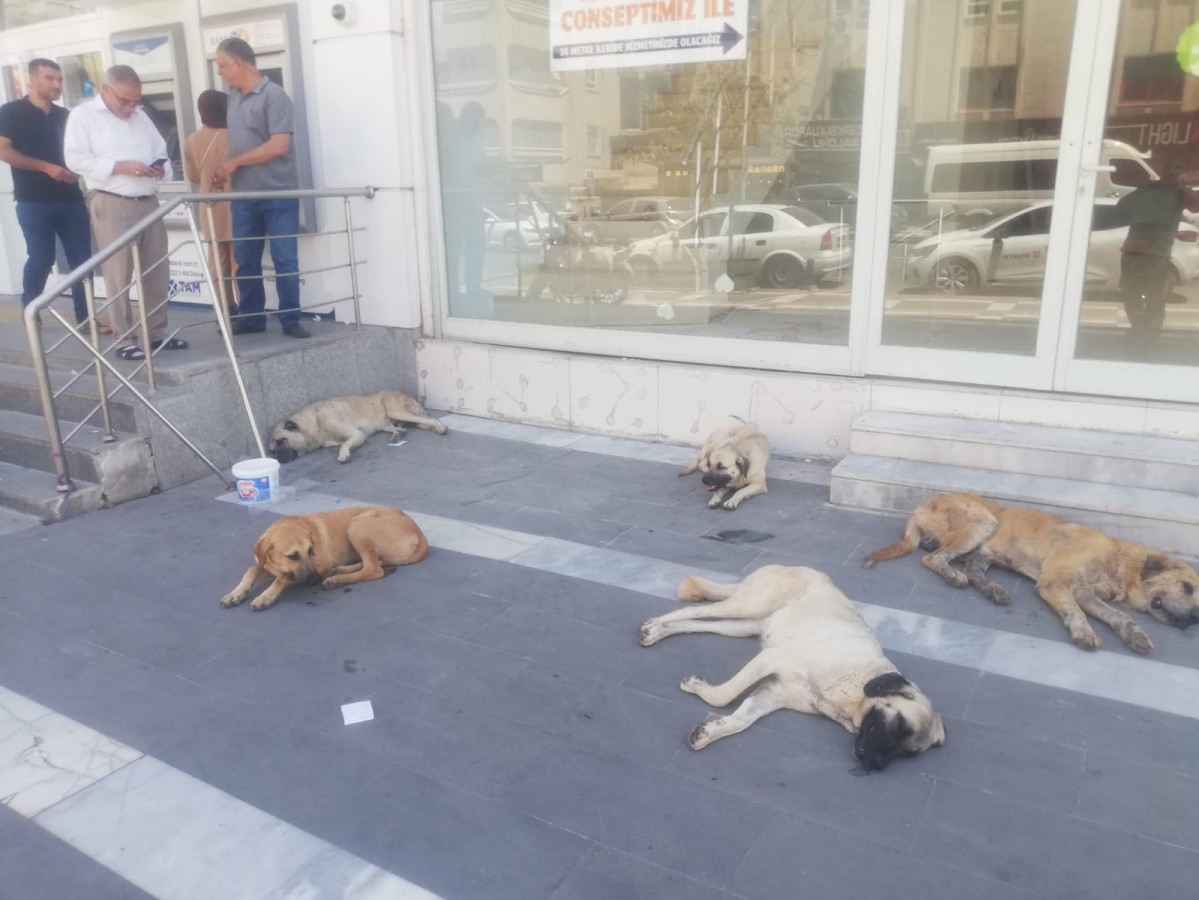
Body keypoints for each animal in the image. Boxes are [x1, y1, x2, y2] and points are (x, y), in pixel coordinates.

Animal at [220, 508, 426, 613]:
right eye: (292, 556)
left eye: (311, 551)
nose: (314, 580)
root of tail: (419, 533)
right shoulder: (266, 564)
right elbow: (251, 570)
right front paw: (235, 593)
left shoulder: (319, 565)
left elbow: (283, 578)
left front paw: (265, 596)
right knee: (375, 563)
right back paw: (340, 571)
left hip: (357, 524)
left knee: (374, 569)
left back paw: (335, 579)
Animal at [269, 390, 448, 464]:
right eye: (271, 450)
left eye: (281, 440)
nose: (276, 458)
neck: (313, 422)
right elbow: (340, 443)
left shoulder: (357, 434)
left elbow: (344, 444)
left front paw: (343, 455)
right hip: (388, 422)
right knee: (407, 426)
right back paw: (397, 434)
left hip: (397, 411)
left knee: (431, 420)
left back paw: (441, 427)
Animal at [637, 565, 944, 771]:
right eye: (899, 725)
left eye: (909, 753)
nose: (874, 765)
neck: (855, 686)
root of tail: (794, 565)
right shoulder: (771, 659)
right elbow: (724, 696)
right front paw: (699, 690)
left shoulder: (773, 692)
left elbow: (741, 720)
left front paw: (711, 730)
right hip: (748, 606)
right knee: (694, 611)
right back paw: (656, 624)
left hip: (743, 625)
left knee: (697, 623)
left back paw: (660, 632)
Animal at [863, 493, 1199, 656]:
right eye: (1187, 587)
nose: (1195, 619)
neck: (1119, 561)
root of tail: (920, 508)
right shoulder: (1057, 583)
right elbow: (1077, 613)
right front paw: (1084, 632)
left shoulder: (1087, 592)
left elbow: (1119, 615)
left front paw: (1135, 633)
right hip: (983, 521)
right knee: (934, 558)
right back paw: (953, 576)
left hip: (984, 551)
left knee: (972, 571)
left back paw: (993, 590)